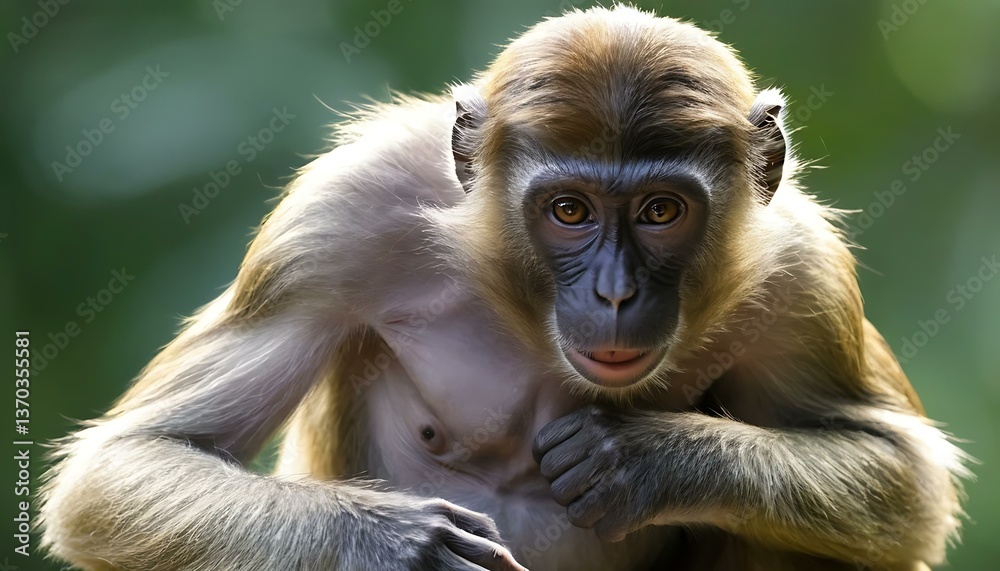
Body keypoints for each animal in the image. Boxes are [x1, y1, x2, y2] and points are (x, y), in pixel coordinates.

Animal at [40, 6, 968, 571]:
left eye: (662, 210)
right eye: (569, 209)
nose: (616, 292)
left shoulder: (799, 269)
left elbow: (905, 478)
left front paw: (644, 457)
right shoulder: (339, 217)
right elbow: (125, 465)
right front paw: (399, 544)